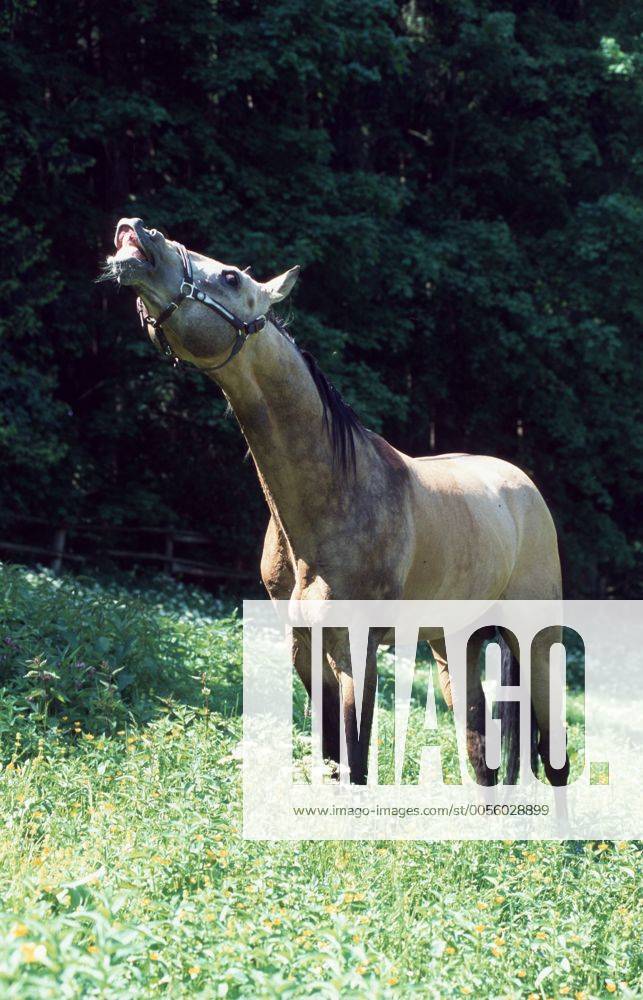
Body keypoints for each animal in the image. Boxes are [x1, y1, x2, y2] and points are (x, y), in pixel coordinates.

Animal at [104, 217, 570, 788]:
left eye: (231, 276)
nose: (135, 233)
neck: (332, 502)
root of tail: (524, 488)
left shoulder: (359, 647)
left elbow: (356, 762)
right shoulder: (306, 647)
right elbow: (329, 756)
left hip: (536, 639)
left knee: (554, 757)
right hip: (454, 643)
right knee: (480, 752)